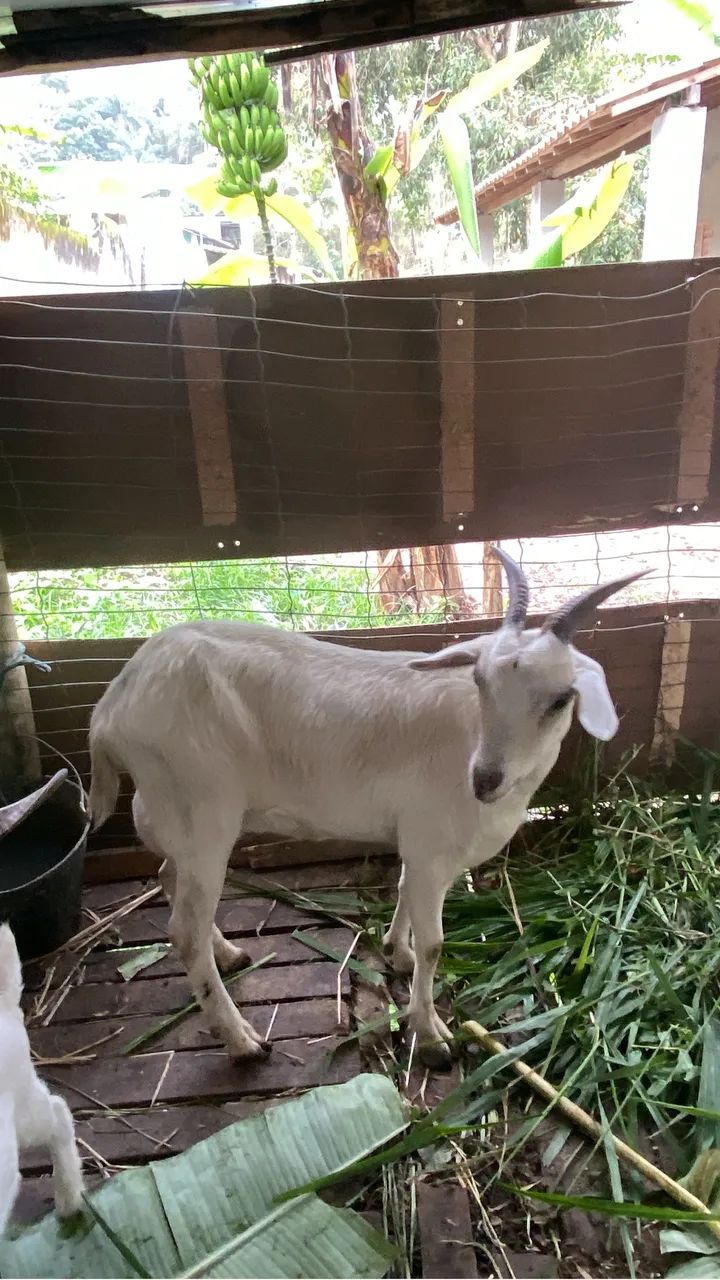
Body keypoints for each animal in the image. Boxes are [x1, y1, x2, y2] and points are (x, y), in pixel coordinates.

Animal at [88, 549, 644, 1068]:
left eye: (561, 699)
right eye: (480, 682)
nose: (484, 780)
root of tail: (110, 707)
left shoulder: (419, 844)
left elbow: (403, 892)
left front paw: (397, 953)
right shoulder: (432, 842)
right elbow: (435, 943)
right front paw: (430, 1034)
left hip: (171, 813)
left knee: (170, 879)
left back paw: (226, 953)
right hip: (202, 809)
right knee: (184, 930)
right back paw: (241, 1040)